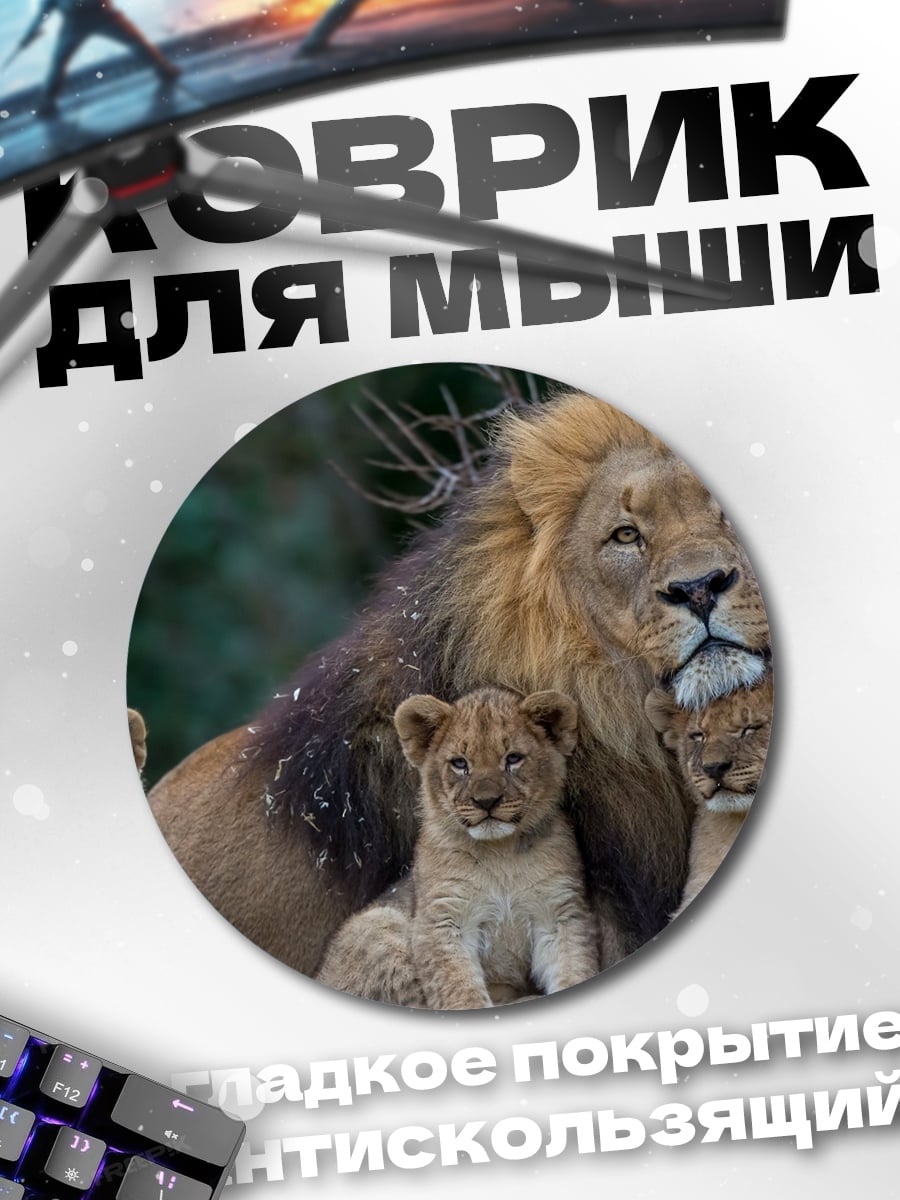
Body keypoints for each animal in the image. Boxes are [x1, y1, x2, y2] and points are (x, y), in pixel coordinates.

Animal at [317, 688, 599, 1009]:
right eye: (460, 763)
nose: (486, 801)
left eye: (513, 758)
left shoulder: (560, 913)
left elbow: (574, 970)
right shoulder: (442, 919)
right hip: (378, 923)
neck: (500, 853)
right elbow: (459, 991)